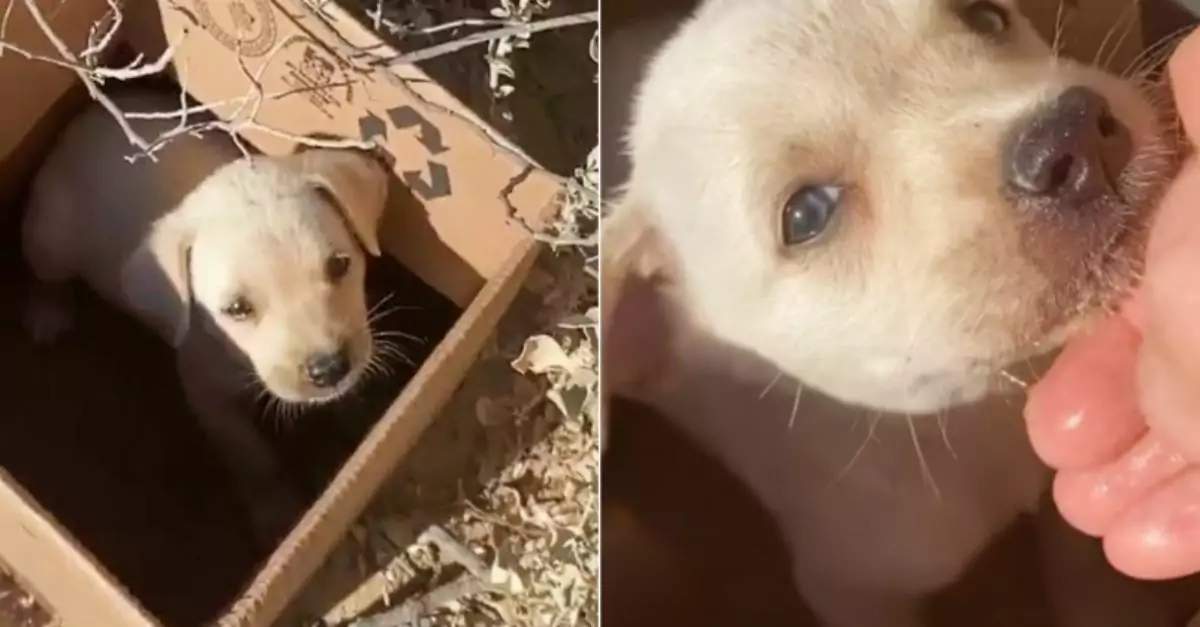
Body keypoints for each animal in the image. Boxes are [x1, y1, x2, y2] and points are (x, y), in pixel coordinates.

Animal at [21, 88, 388, 547]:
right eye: (237, 309)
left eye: (340, 265)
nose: (330, 369)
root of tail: (78, 126)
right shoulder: (207, 396)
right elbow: (254, 460)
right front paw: (276, 513)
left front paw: (356, 407)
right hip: (50, 238)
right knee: (47, 274)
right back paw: (48, 312)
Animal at [604, 1, 1176, 624]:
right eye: (806, 214)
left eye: (987, 16)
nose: (1070, 135)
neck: (982, 412)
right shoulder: (852, 590)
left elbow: (1087, 574)